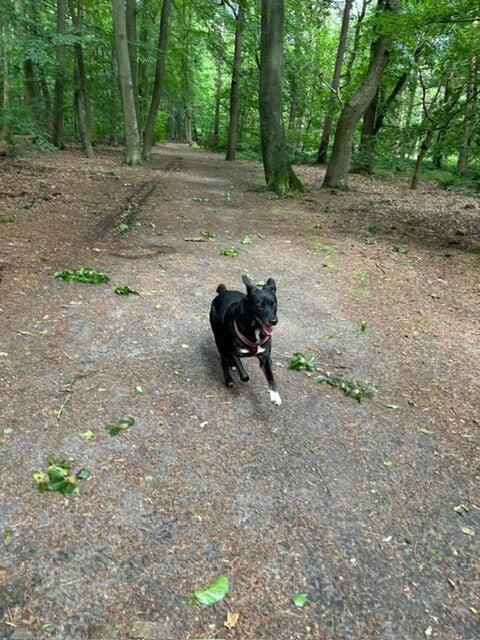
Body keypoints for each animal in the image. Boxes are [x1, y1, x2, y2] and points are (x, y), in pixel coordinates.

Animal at [209, 275, 281, 406]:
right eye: (259, 306)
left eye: (274, 304)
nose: (274, 321)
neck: (255, 329)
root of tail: (224, 291)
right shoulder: (233, 351)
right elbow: (244, 376)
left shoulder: (265, 357)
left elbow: (270, 376)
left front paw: (275, 395)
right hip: (219, 340)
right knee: (223, 359)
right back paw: (228, 378)